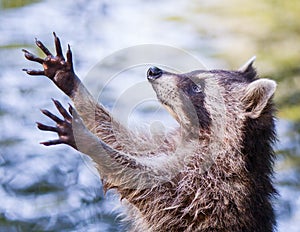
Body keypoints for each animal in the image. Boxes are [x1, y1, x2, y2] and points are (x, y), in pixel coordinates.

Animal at [22, 33, 276, 231]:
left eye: (197, 88)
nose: (154, 71)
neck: (192, 135)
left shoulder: (206, 191)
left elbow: (148, 185)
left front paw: (88, 140)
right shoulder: (170, 145)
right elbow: (125, 142)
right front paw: (72, 84)